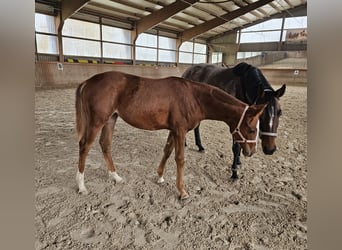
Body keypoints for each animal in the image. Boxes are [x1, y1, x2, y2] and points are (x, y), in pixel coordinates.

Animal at [75, 71, 268, 199]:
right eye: (252, 129)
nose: (251, 152)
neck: (194, 97)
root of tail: (88, 81)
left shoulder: (174, 130)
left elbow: (167, 151)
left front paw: (160, 177)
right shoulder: (180, 131)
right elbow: (180, 159)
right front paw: (182, 191)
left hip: (111, 119)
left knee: (105, 144)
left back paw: (115, 176)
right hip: (97, 121)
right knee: (84, 146)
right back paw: (81, 186)